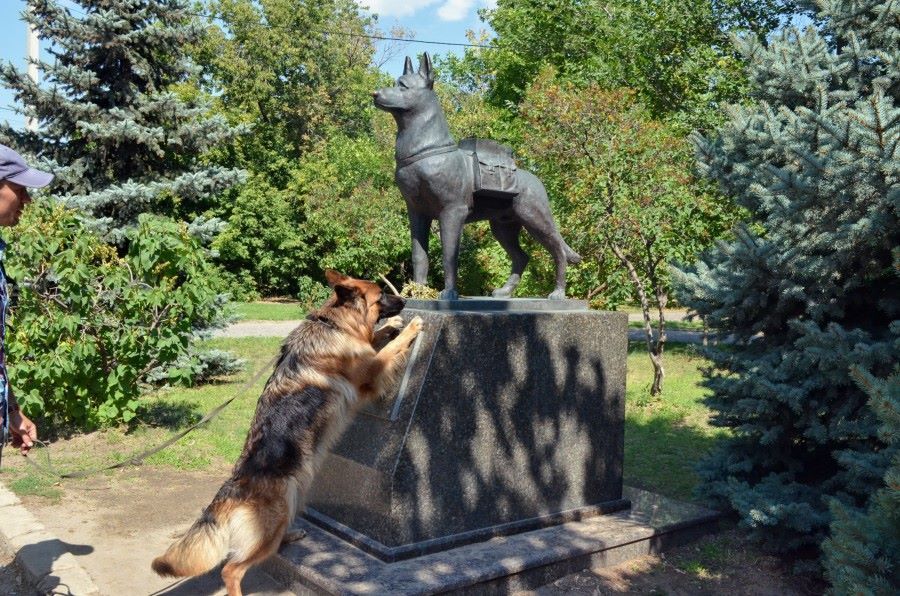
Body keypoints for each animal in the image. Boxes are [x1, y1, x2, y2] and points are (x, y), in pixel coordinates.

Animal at [150, 272, 422, 596]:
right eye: (381, 294)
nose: (405, 300)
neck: (333, 323)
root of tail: (230, 489)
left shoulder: (366, 350)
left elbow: (377, 339)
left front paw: (392, 326)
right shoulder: (373, 370)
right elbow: (389, 350)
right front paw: (412, 327)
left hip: (295, 496)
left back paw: (289, 536)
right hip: (277, 513)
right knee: (231, 568)